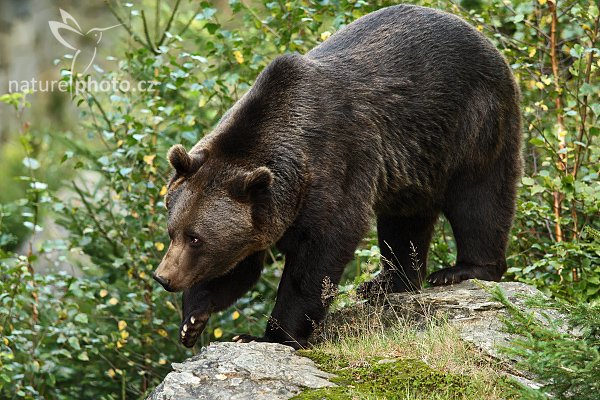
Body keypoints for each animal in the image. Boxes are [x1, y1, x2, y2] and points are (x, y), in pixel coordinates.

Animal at [154, 3, 520, 348]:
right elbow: (239, 263)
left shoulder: (333, 169)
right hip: (416, 164)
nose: (163, 277)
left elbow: (318, 257)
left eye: (196, 238)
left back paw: (461, 270)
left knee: (479, 200)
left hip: (472, 123)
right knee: (404, 220)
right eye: (174, 231)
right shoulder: (261, 207)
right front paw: (192, 320)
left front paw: (269, 335)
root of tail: (486, 40)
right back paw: (386, 283)